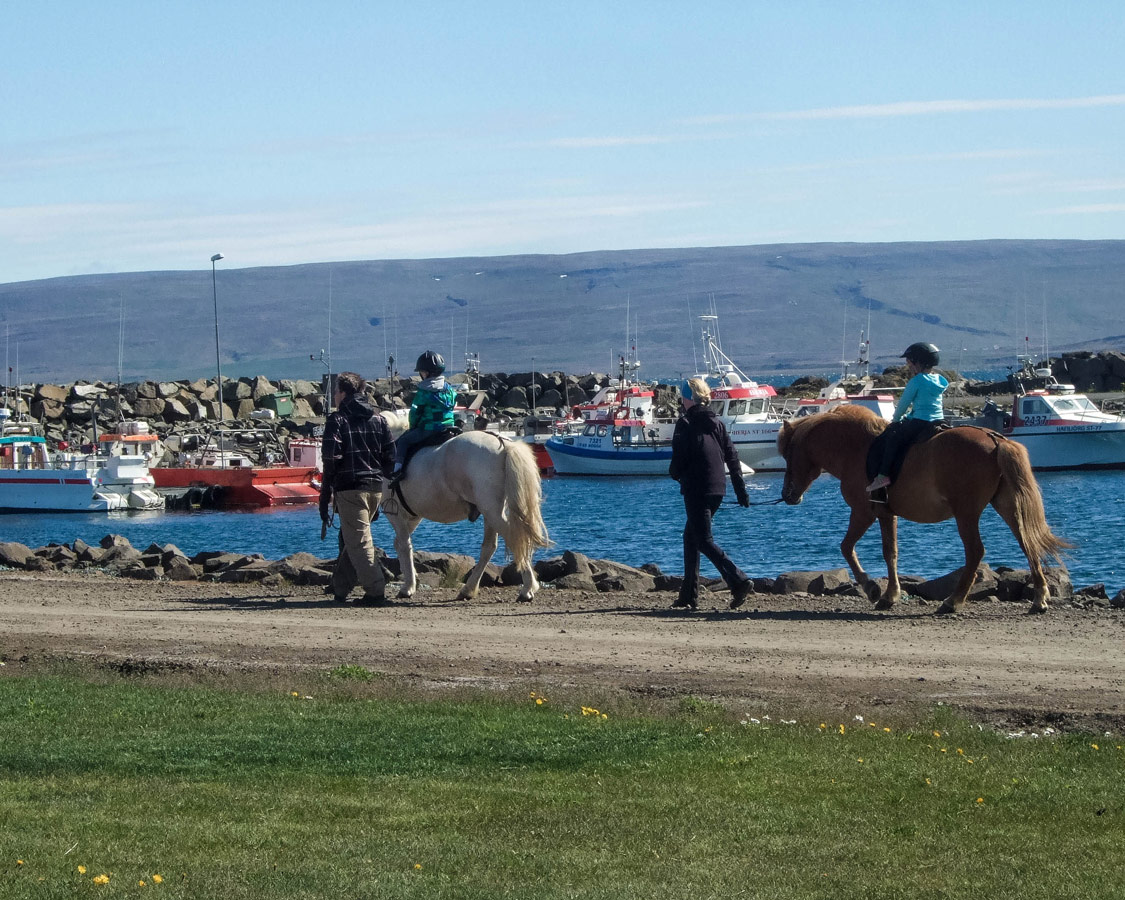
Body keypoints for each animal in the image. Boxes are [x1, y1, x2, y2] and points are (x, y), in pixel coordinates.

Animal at [380, 411, 551, 603]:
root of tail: (504, 444)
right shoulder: (413, 517)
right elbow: (400, 544)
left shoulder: (396, 515)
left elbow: (404, 546)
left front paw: (408, 586)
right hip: (491, 513)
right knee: (489, 547)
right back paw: (469, 589)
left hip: (492, 511)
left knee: (514, 538)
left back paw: (527, 588)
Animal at [778, 405, 1066, 616]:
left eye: (788, 454)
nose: (787, 495)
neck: (856, 449)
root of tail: (995, 439)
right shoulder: (886, 515)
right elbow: (890, 553)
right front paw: (888, 594)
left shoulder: (864, 512)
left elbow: (849, 547)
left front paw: (874, 590)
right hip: (1007, 506)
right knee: (1027, 543)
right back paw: (1039, 599)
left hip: (966, 513)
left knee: (975, 551)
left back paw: (952, 601)